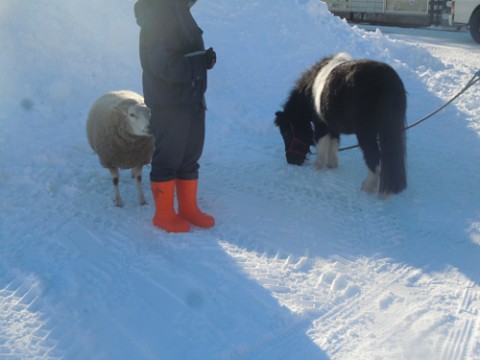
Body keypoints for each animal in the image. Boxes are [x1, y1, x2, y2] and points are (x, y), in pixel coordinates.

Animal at [276, 52, 406, 195]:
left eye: (286, 133)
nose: (291, 160)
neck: (310, 91)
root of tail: (387, 82)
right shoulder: (333, 126)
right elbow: (334, 143)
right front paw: (332, 164)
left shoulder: (321, 124)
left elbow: (322, 144)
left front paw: (318, 166)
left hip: (366, 134)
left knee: (374, 156)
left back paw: (368, 187)